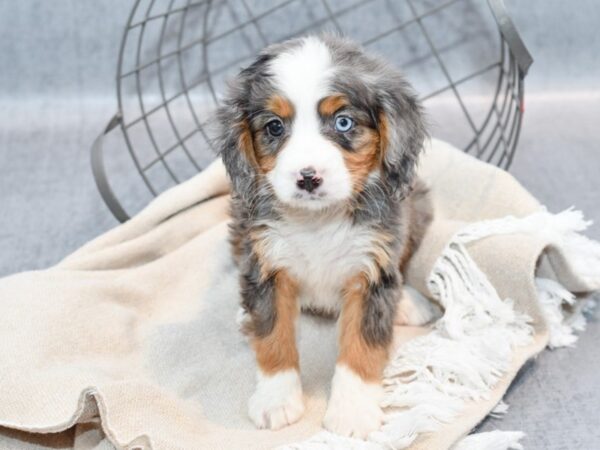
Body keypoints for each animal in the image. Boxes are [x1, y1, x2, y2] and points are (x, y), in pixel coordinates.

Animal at [218, 36, 428, 440]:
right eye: (274, 127)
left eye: (343, 122)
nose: (308, 178)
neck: (318, 221)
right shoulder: (266, 263)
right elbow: (273, 334)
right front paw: (276, 400)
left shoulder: (371, 269)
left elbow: (362, 344)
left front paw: (352, 412)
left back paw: (406, 304)